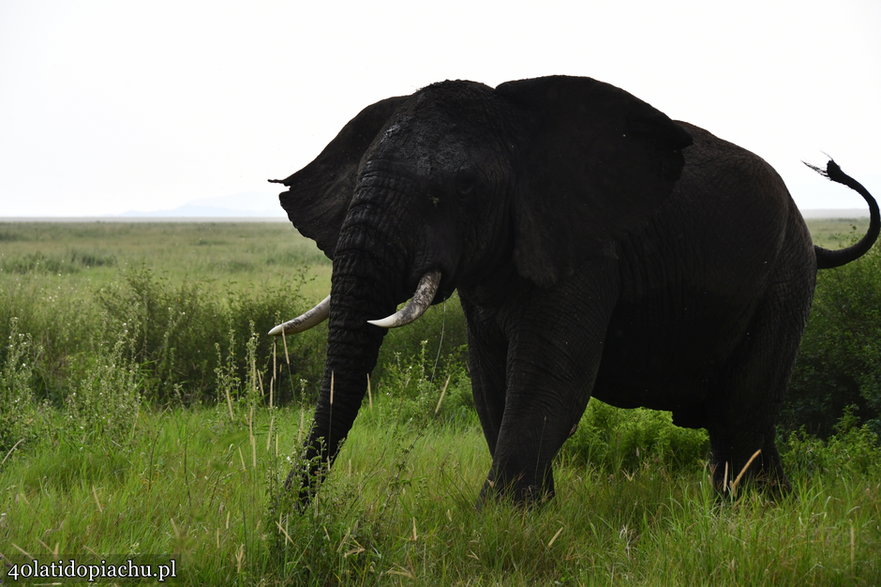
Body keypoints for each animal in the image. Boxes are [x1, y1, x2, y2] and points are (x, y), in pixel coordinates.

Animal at [268, 74, 880, 506]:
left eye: (461, 188)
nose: (286, 516)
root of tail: (813, 241)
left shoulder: (587, 251)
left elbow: (548, 378)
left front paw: (498, 522)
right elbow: (491, 384)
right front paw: (528, 518)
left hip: (784, 280)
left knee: (741, 416)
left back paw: (740, 518)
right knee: (746, 422)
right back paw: (774, 510)